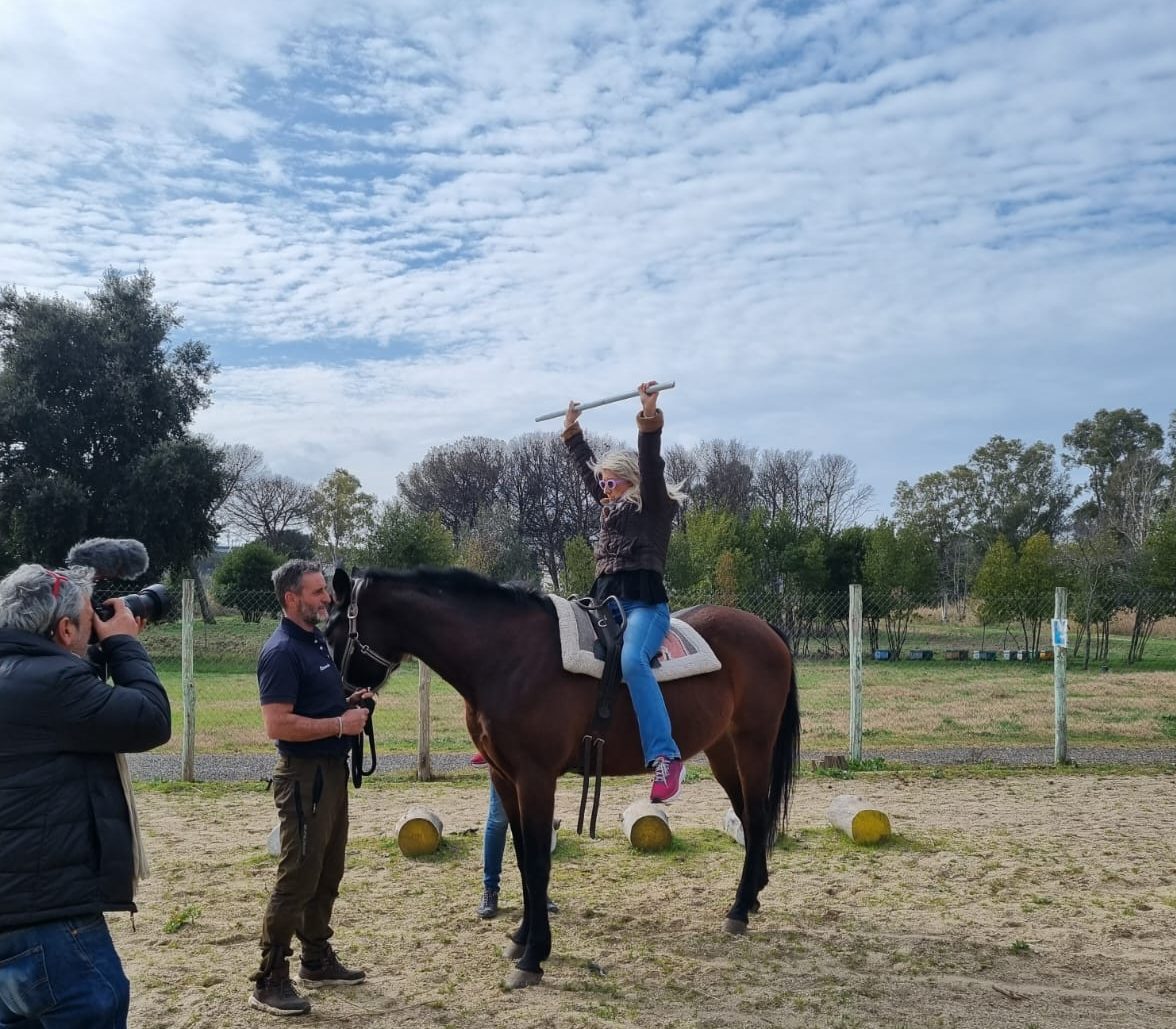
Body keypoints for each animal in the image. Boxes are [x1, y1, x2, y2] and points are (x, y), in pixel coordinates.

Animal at [326, 564, 799, 987]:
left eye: (332, 636)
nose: (340, 702)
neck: (507, 656)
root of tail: (765, 628)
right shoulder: (504, 777)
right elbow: (521, 857)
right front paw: (521, 938)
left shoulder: (536, 777)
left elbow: (538, 862)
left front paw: (534, 957)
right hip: (723, 750)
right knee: (749, 817)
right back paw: (751, 896)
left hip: (753, 744)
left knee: (757, 816)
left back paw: (739, 910)